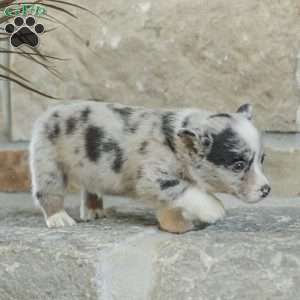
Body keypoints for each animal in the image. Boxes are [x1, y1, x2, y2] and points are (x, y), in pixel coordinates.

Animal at [29, 102, 270, 233]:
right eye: (238, 165)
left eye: (262, 159)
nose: (267, 190)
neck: (175, 143)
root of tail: (49, 111)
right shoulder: (152, 177)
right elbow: (187, 190)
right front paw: (214, 209)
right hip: (48, 164)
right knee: (46, 192)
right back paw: (59, 218)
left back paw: (93, 211)